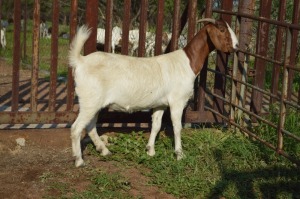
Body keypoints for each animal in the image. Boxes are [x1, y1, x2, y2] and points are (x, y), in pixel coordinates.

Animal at [68, 18, 239, 166]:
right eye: (222, 30)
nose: (237, 46)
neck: (187, 62)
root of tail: (80, 61)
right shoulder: (177, 101)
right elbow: (177, 127)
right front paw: (179, 154)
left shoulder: (160, 104)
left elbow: (156, 125)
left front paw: (150, 150)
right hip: (89, 101)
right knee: (76, 128)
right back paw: (79, 160)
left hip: (94, 103)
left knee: (90, 126)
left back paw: (104, 150)